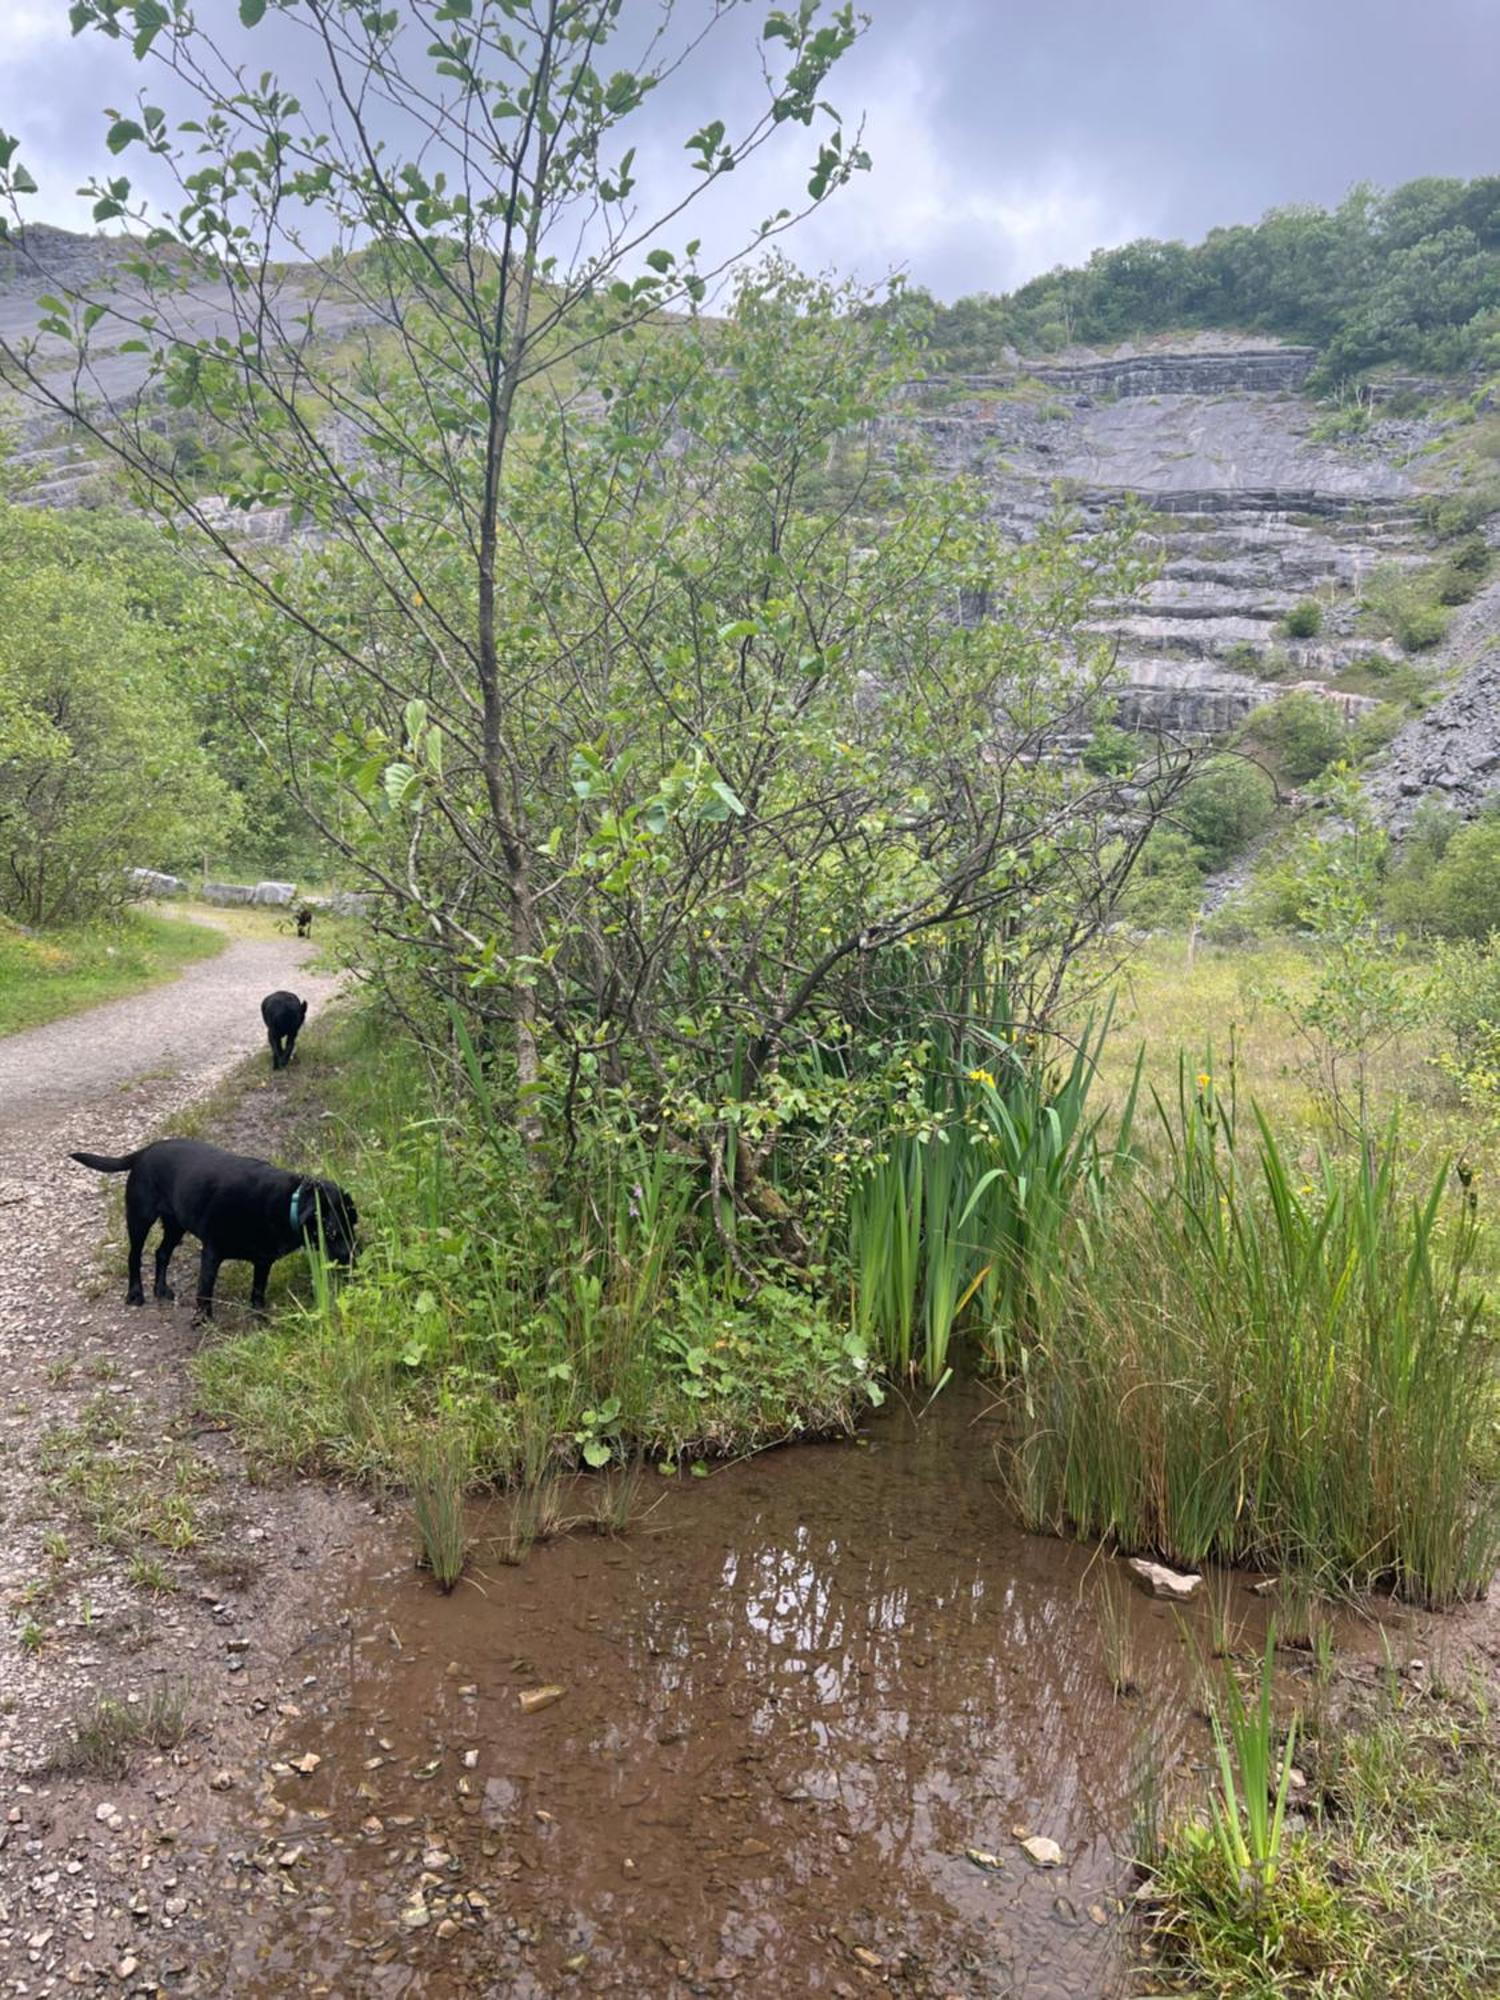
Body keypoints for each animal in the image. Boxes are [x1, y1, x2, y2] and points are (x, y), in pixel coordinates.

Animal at [72, 1136, 362, 1320]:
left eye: (353, 1225)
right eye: (332, 1231)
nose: (353, 1260)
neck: (285, 1202)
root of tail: (145, 1151)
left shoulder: (263, 1261)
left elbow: (258, 1291)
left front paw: (259, 1318)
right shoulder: (212, 1253)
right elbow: (205, 1291)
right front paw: (203, 1321)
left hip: (175, 1225)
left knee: (161, 1253)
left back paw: (161, 1289)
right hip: (140, 1219)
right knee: (134, 1256)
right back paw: (135, 1293)